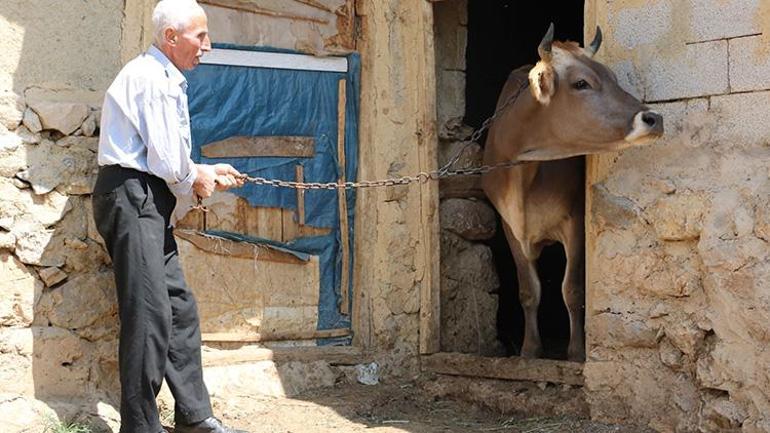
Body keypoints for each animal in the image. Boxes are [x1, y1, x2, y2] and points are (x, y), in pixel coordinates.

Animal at [480, 24, 660, 362]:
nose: (655, 119)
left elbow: (572, 289)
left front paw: (577, 352)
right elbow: (529, 290)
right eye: (581, 83)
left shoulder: (575, 219)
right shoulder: (509, 226)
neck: (522, 176)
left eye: (614, 78)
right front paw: (530, 349)